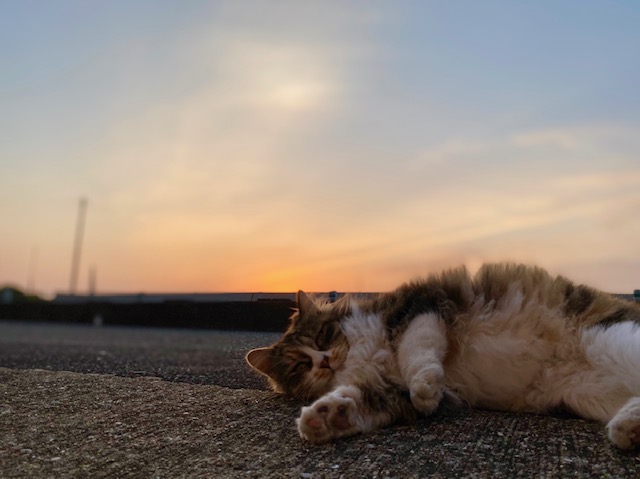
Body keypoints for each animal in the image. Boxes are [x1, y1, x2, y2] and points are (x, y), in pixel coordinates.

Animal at [248, 262, 640, 450]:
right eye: (300, 365)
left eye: (322, 336)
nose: (325, 361)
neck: (362, 353)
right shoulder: (386, 390)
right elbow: (358, 401)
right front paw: (327, 418)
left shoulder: (423, 306)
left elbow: (416, 351)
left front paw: (426, 386)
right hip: (586, 391)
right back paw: (629, 429)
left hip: (608, 338)